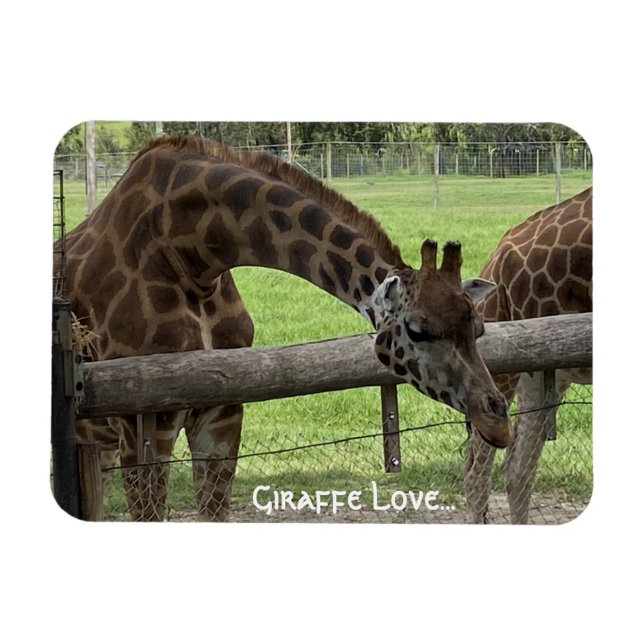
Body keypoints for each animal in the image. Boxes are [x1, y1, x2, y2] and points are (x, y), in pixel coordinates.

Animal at [55, 135, 513, 521]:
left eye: (479, 328)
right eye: (418, 331)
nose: (498, 423)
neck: (191, 257)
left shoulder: (221, 411)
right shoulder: (141, 423)